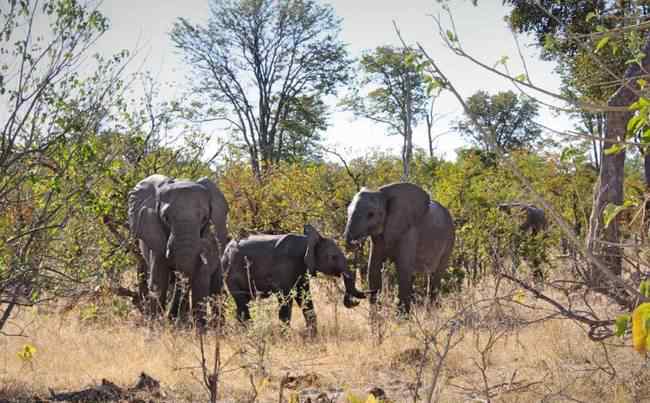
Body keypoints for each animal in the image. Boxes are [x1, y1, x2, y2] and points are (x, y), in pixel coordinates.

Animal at [127, 175, 228, 326]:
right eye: (166, 218)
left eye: (204, 218)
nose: (171, 318)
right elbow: (159, 280)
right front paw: (156, 325)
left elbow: (200, 280)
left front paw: (200, 329)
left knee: (216, 287)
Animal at [342, 183, 454, 316]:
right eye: (347, 211)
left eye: (371, 214)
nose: (354, 302)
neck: (382, 193)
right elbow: (373, 269)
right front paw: (376, 319)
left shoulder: (409, 231)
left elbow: (403, 270)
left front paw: (401, 319)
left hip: (449, 241)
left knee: (435, 278)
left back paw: (432, 313)